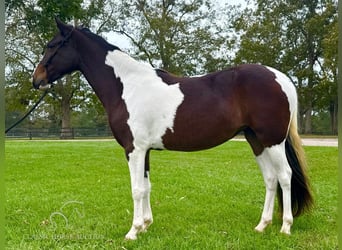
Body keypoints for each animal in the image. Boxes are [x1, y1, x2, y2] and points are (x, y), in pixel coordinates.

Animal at [32, 18, 312, 240]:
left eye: (52, 45)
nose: (36, 80)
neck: (126, 86)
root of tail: (281, 78)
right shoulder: (144, 150)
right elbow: (146, 187)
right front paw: (145, 225)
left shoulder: (133, 149)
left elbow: (136, 189)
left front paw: (132, 232)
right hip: (257, 141)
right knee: (271, 178)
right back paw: (262, 226)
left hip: (273, 141)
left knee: (285, 176)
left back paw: (285, 227)